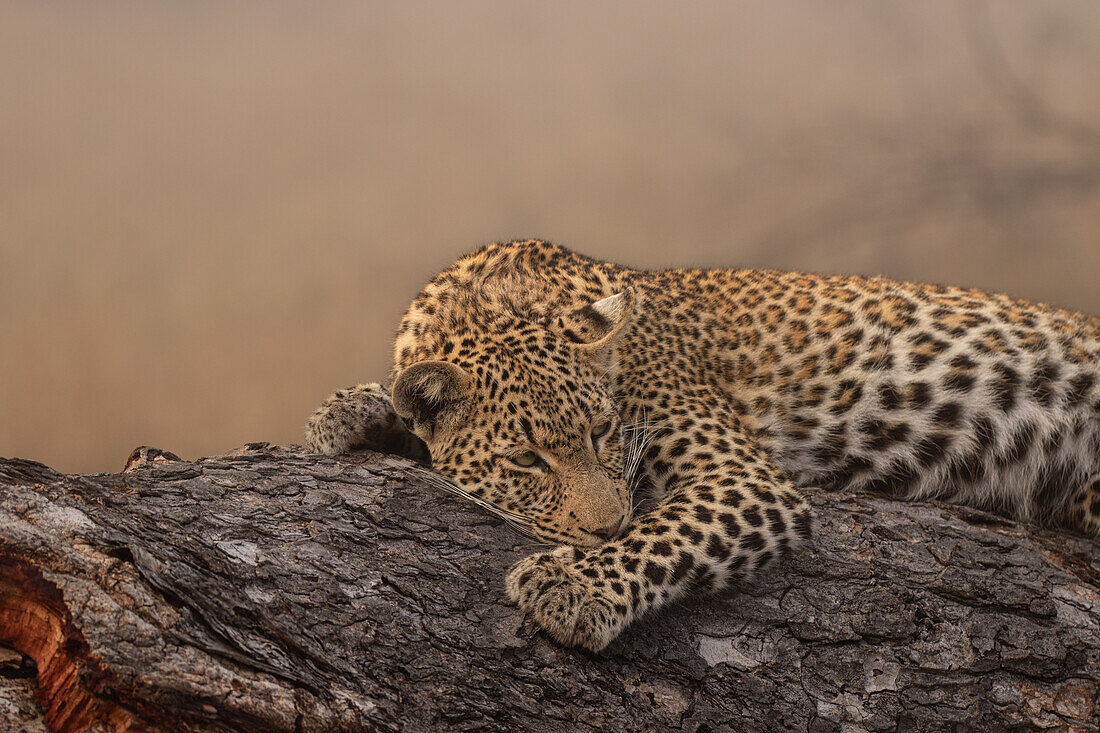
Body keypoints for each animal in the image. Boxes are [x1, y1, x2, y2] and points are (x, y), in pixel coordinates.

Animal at [305, 236, 1100, 647]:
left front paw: (572, 586)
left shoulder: (744, 480)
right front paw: (346, 411)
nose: (606, 525)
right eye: (527, 458)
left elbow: (669, 531)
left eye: (601, 430)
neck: (498, 300)